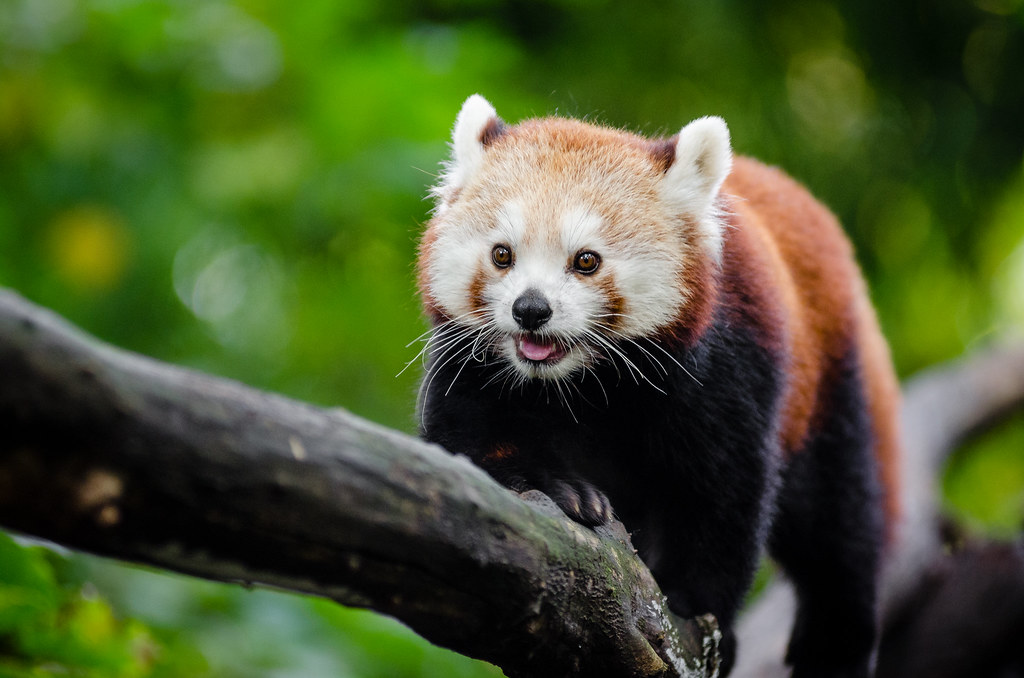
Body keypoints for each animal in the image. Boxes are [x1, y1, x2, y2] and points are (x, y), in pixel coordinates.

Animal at [411, 95, 901, 678]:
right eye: (502, 254)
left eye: (586, 260)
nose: (530, 310)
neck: (581, 383)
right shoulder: (468, 362)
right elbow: (469, 443)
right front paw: (559, 486)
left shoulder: (729, 364)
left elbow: (724, 495)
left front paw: (695, 609)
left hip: (830, 383)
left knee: (840, 524)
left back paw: (836, 641)